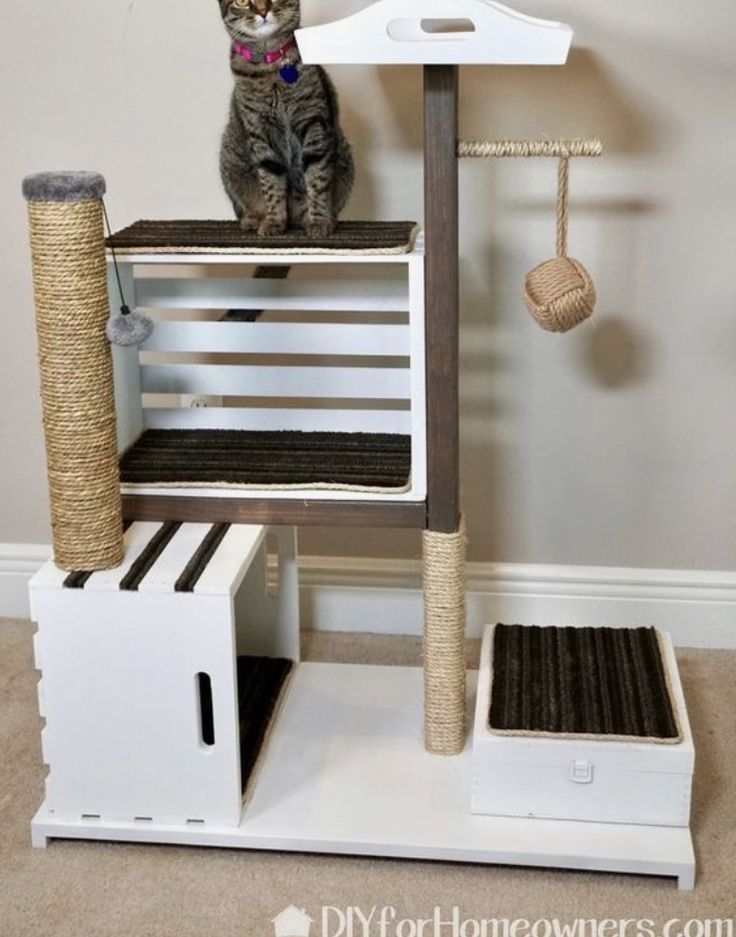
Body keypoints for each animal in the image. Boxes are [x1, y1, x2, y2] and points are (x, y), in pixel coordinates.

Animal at [216, 0, 354, 236]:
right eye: (242, 2)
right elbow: (270, 182)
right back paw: (254, 219)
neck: (270, 66)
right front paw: (274, 221)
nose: (263, 11)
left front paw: (318, 220)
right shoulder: (259, 130)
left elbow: (317, 176)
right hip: (229, 159)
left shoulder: (313, 121)